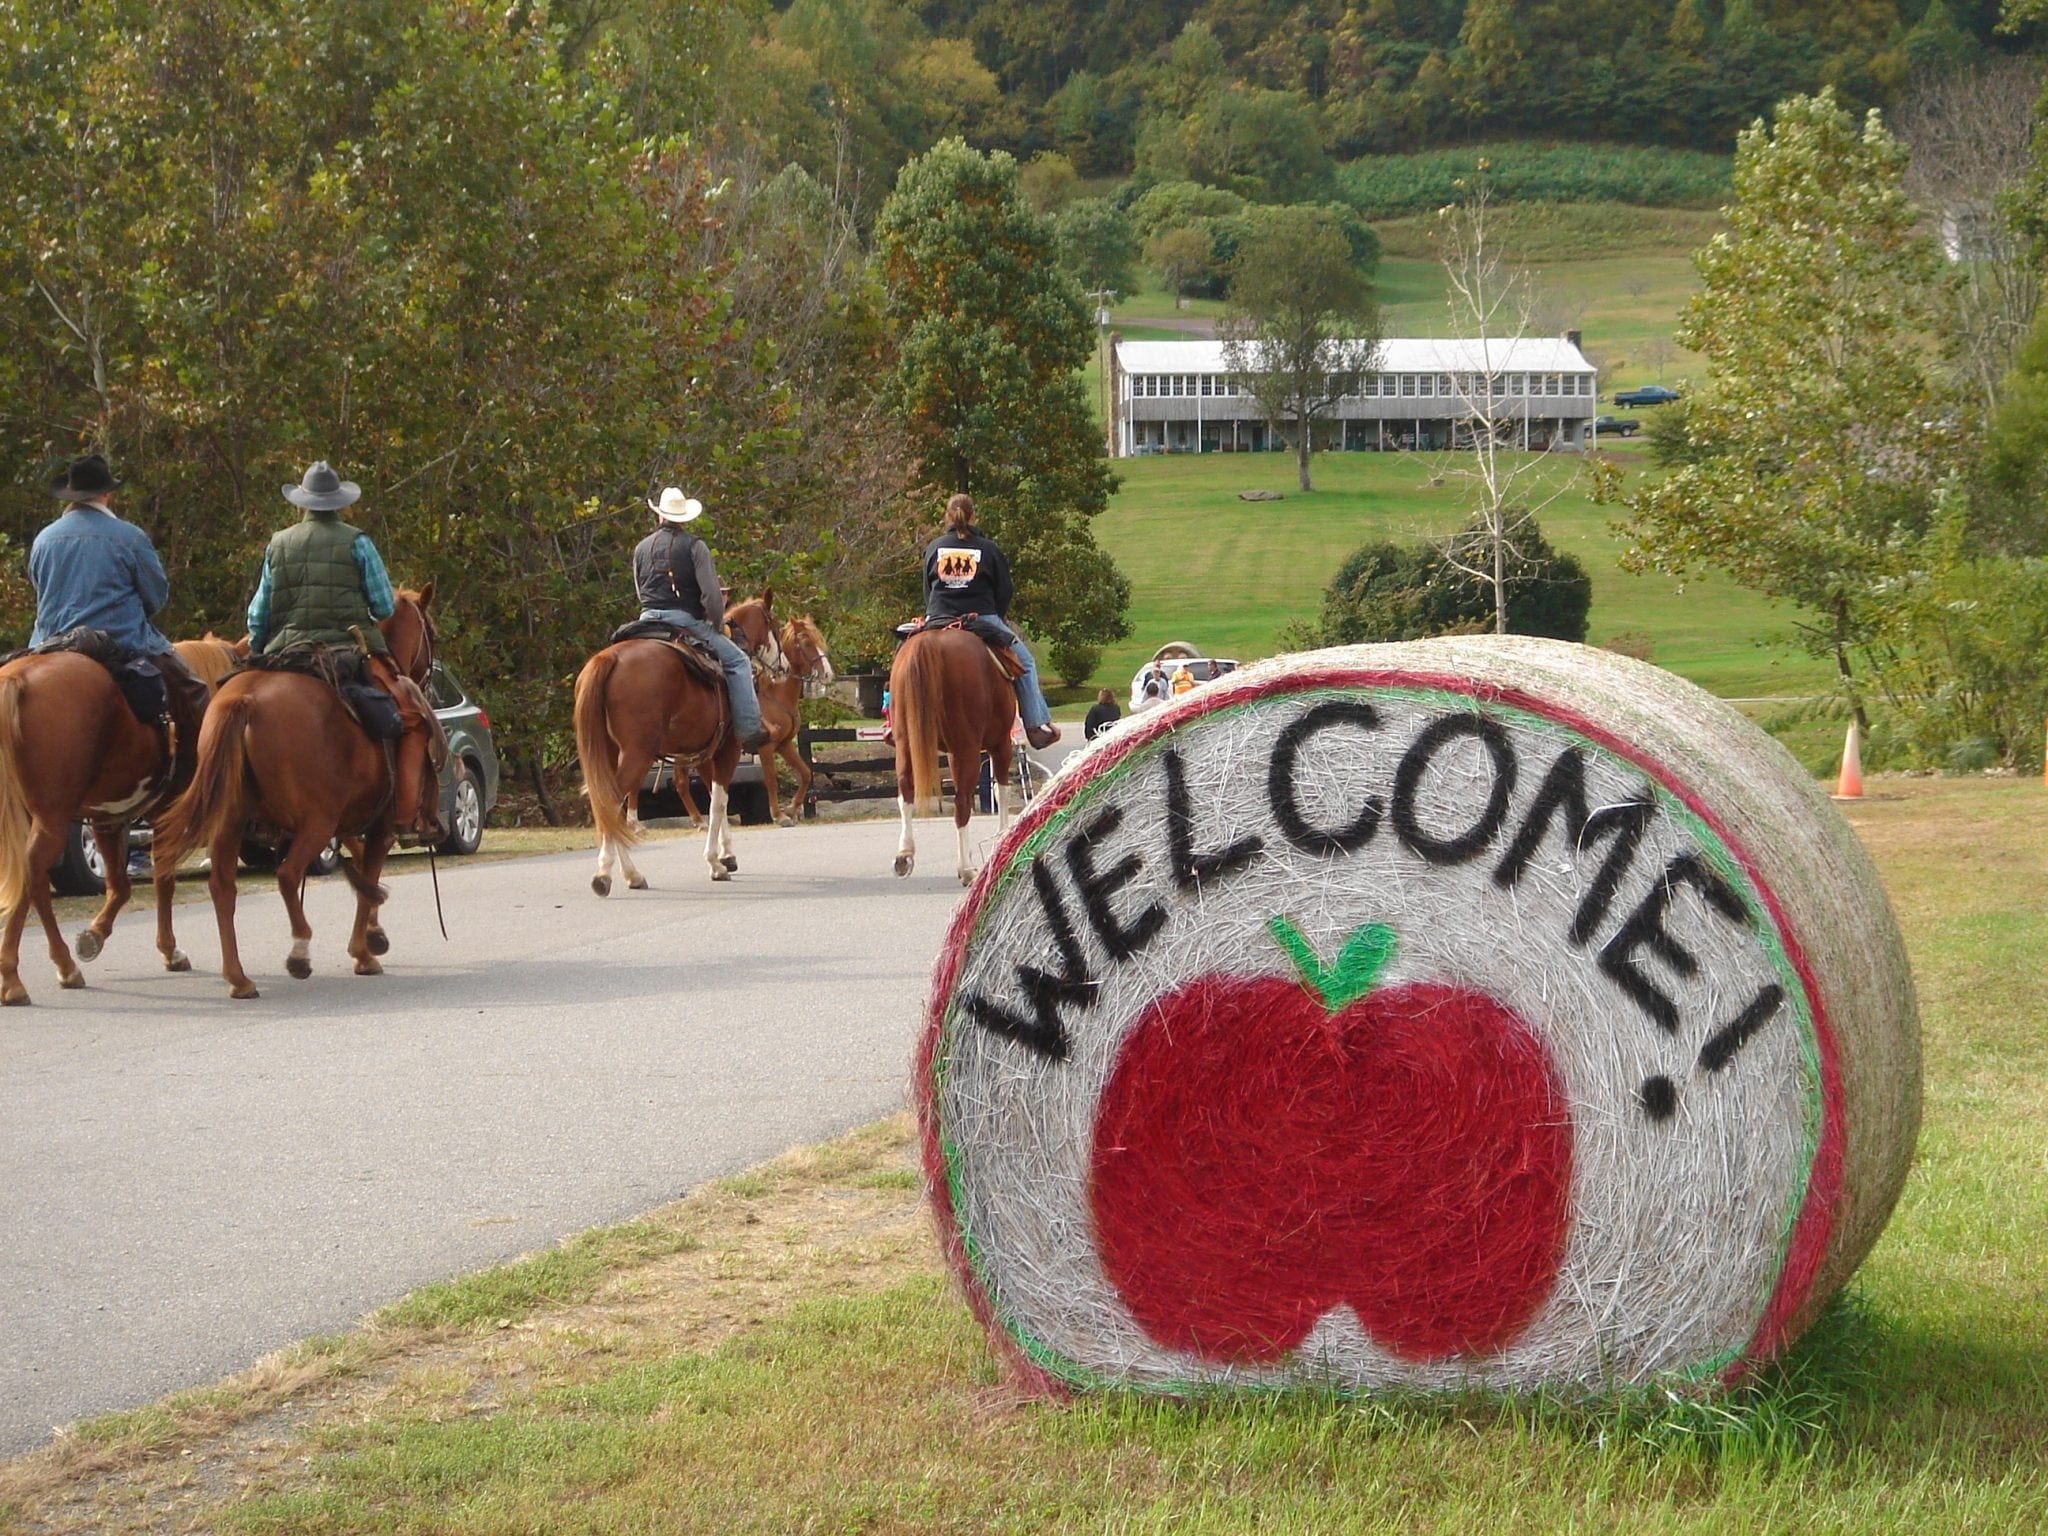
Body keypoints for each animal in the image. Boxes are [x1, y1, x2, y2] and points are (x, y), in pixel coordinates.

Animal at [0, 643, 207, 1003]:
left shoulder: (105, 818)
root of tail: (17, 676)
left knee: (33, 879)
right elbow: (163, 880)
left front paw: (93, 935)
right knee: (31, 872)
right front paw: (170, 951)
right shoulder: (165, 816)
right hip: (52, 818)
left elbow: (120, 886)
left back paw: (62, 966)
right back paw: (17, 977)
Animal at [150, 581, 440, 1003]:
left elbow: (362, 873)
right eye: (431, 633)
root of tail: (246, 700)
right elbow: (368, 875)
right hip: (315, 823)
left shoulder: (350, 823)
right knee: (287, 875)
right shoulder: (378, 826)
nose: (429, 686)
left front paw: (374, 934)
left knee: (222, 887)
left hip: (230, 822)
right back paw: (299, 951)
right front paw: (364, 950)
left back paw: (238, 978)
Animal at [577, 593, 782, 901]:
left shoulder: (705, 755)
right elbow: (719, 802)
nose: (782, 668)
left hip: (611, 753)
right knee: (612, 803)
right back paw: (606, 874)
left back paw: (631, 875)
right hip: (636, 753)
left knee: (609, 805)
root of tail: (609, 657)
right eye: (777, 626)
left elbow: (716, 799)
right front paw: (716, 863)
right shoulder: (729, 749)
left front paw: (727, 857)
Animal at [888, 626, 1015, 888]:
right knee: (962, 803)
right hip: (967, 749)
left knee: (906, 792)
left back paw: (904, 855)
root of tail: (930, 642)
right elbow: (1001, 791)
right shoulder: (1000, 744)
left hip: (906, 744)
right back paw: (966, 869)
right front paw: (1003, 838)